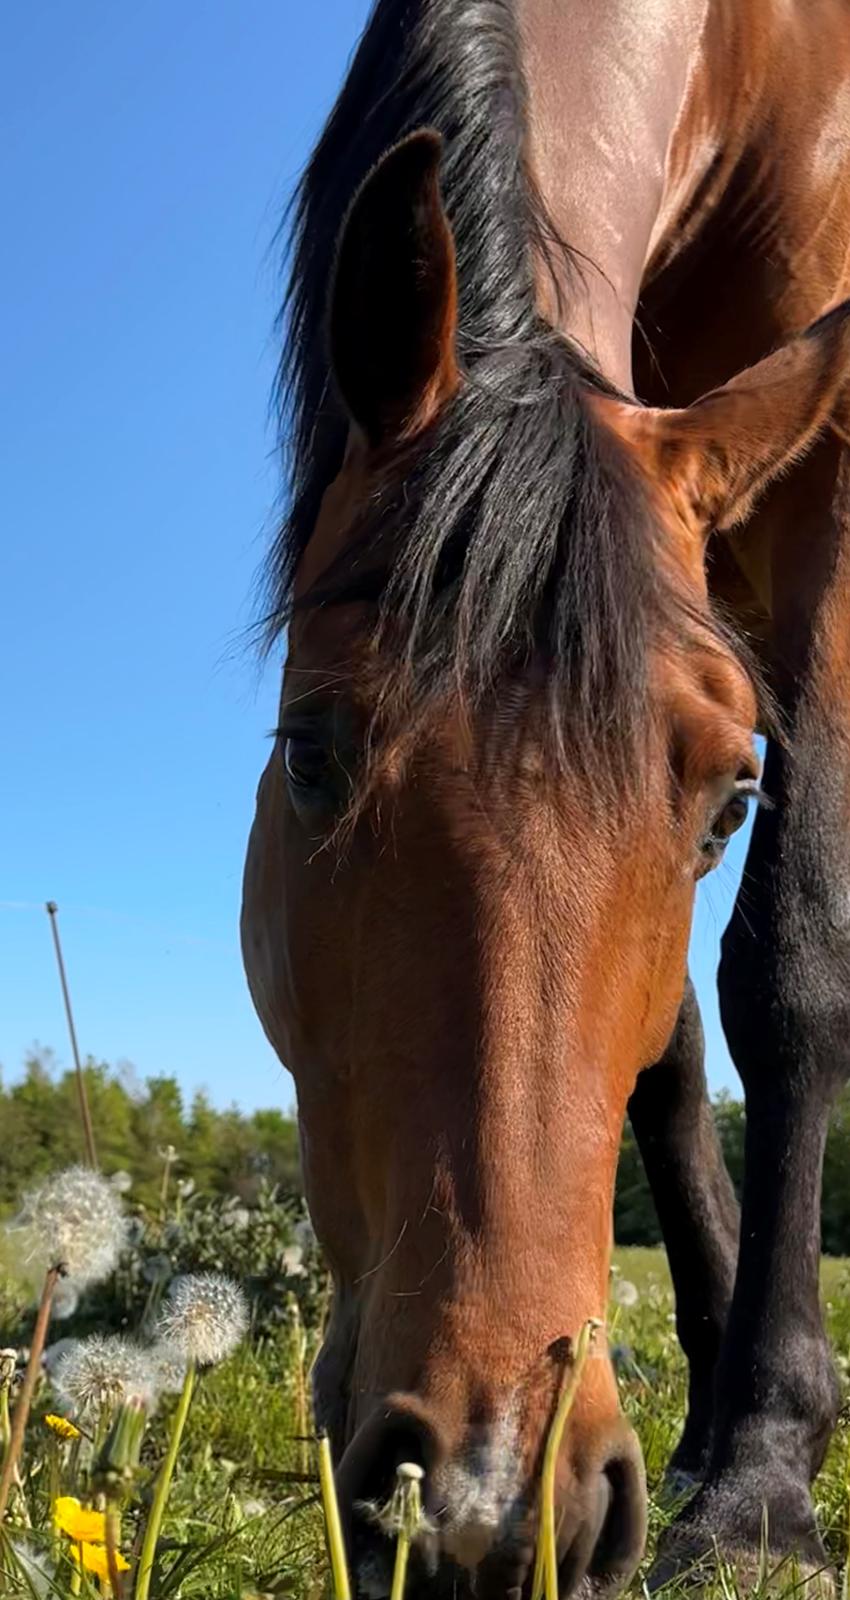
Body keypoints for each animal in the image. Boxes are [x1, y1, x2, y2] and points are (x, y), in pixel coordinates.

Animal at [243, 6, 850, 1593]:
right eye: (311, 753)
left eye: (728, 808)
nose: (488, 1505)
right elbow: (669, 1043)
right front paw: (708, 1393)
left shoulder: (822, 512)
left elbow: (789, 970)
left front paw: (762, 1462)